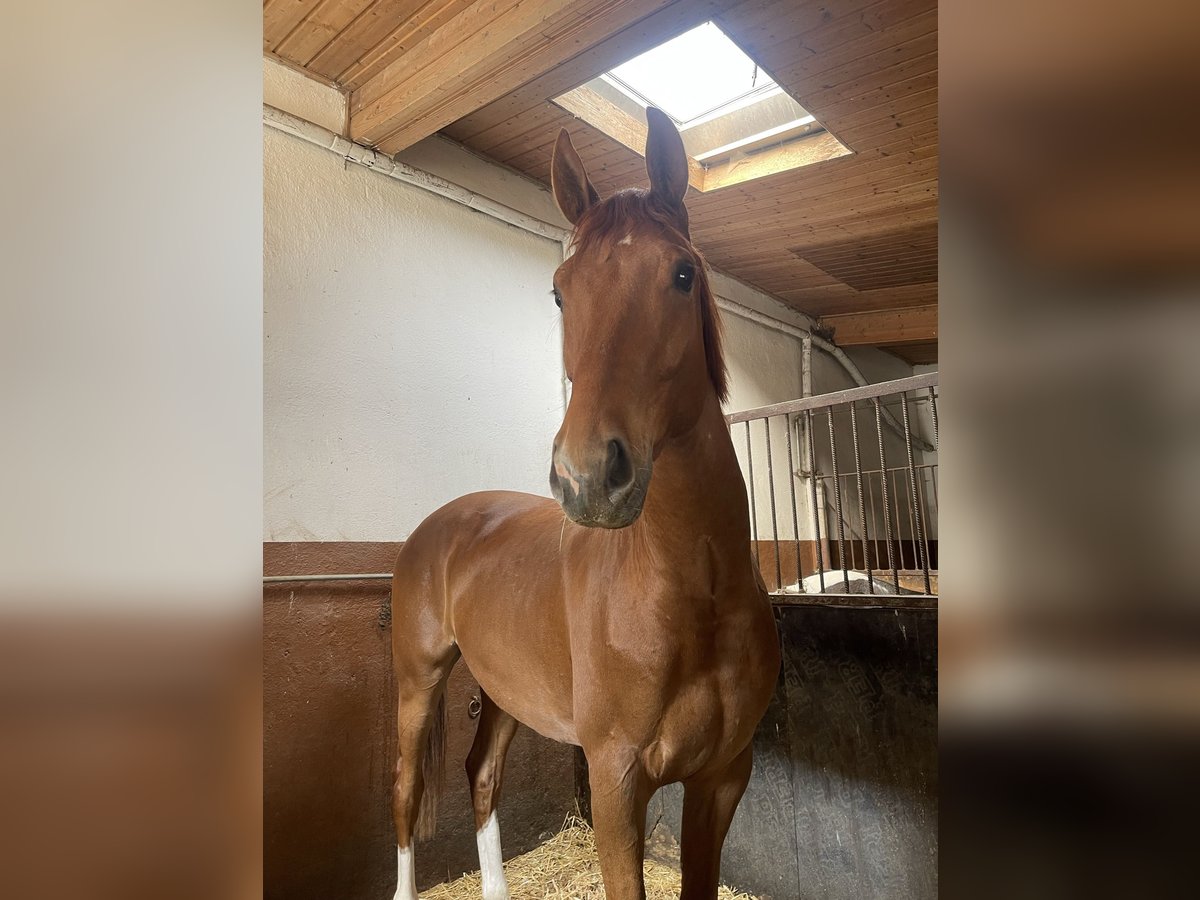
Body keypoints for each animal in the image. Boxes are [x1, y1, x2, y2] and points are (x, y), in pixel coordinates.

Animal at [384, 109, 777, 897]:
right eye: (561, 291)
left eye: (682, 274)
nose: (587, 476)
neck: (692, 593)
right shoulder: (616, 783)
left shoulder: (722, 779)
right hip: (418, 682)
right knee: (407, 791)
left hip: (504, 691)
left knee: (481, 774)